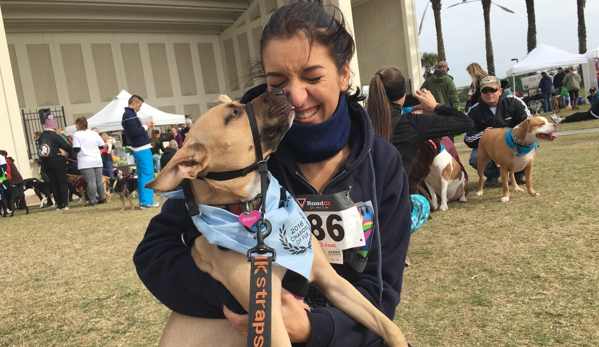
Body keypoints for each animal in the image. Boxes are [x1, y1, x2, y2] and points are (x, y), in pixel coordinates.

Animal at [146, 90, 408, 347]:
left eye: (236, 104)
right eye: (233, 114)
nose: (280, 91)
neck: (251, 209)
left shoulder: (331, 280)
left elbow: (388, 325)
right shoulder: (269, 318)